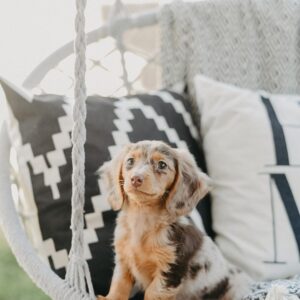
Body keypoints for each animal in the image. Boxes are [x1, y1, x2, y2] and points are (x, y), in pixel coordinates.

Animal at [98, 141, 251, 300]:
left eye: (162, 165)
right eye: (129, 161)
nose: (135, 179)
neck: (142, 220)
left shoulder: (170, 269)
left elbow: (152, 293)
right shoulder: (123, 261)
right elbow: (118, 286)